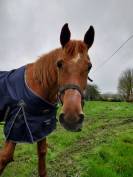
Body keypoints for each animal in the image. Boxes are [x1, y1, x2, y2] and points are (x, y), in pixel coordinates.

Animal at [0, 23, 94, 177]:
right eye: (59, 64)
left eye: (89, 66)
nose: (72, 118)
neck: (37, 86)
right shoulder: (15, 126)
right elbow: (4, 158)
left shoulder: (41, 127)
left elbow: (42, 155)